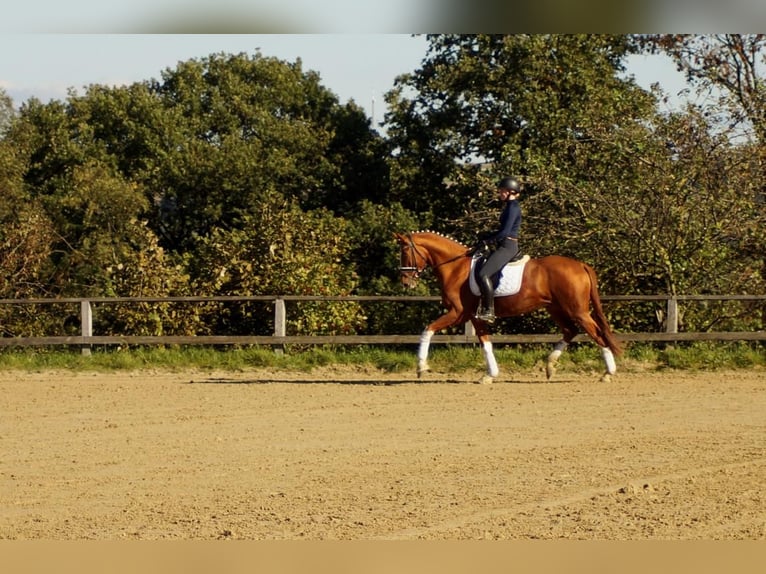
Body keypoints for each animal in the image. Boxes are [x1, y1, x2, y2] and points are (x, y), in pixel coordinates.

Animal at [396, 232, 624, 384]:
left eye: (405, 251)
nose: (406, 282)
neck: (455, 268)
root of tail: (580, 265)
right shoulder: (475, 317)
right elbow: (486, 343)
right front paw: (490, 375)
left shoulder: (458, 313)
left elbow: (427, 330)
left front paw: (421, 367)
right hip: (556, 308)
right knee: (571, 330)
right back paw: (550, 367)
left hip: (578, 311)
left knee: (596, 333)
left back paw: (607, 373)